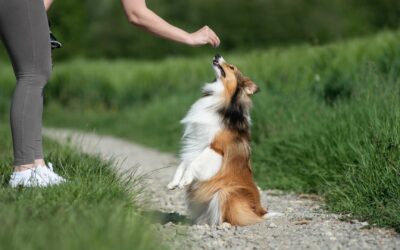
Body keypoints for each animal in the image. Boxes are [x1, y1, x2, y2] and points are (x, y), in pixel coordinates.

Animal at [167, 55, 268, 227]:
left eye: (232, 67)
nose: (217, 55)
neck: (221, 97)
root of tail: (261, 211)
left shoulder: (216, 147)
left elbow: (194, 163)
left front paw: (185, 180)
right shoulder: (196, 141)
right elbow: (184, 162)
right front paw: (174, 182)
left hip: (226, 192)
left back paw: (224, 224)